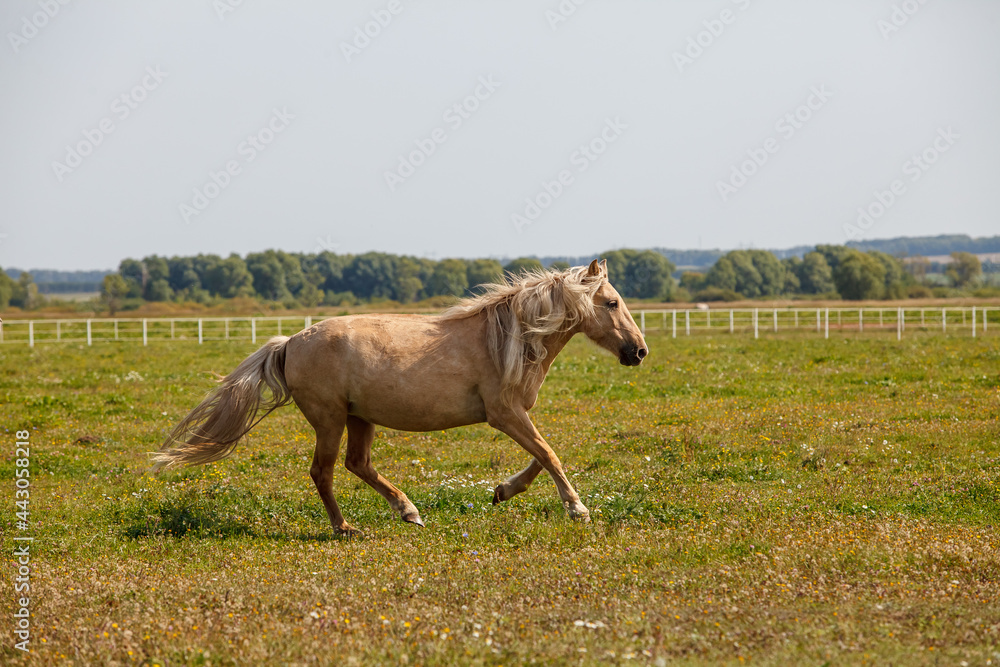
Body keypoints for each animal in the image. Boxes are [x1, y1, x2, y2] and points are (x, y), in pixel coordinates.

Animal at [152, 259, 648, 534]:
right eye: (612, 303)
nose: (639, 351)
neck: (510, 340)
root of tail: (290, 341)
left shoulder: (515, 413)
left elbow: (542, 456)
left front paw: (502, 491)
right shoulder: (504, 413)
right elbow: (550, 454)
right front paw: (578, 509)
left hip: (360, 418)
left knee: (358, 465)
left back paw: (408, 511)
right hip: (330, 418)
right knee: (323, 471)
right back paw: (346, 527)